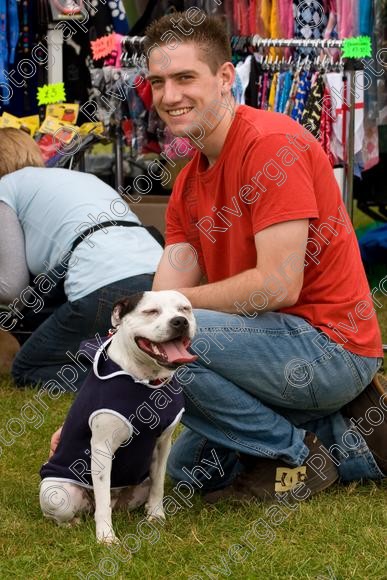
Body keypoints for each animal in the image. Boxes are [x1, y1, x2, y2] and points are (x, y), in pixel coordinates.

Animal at [39, 290, 197, 544]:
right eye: (150, 311)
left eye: (184, 309)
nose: (179, 322)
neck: (146, 380)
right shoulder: (102, 448)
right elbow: (103, 502)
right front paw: (105, 537)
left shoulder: (163, 444)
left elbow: (158, 485)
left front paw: (156, 516)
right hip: (57, 493)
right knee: (82, 509)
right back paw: (74, 523)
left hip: (139, 484)